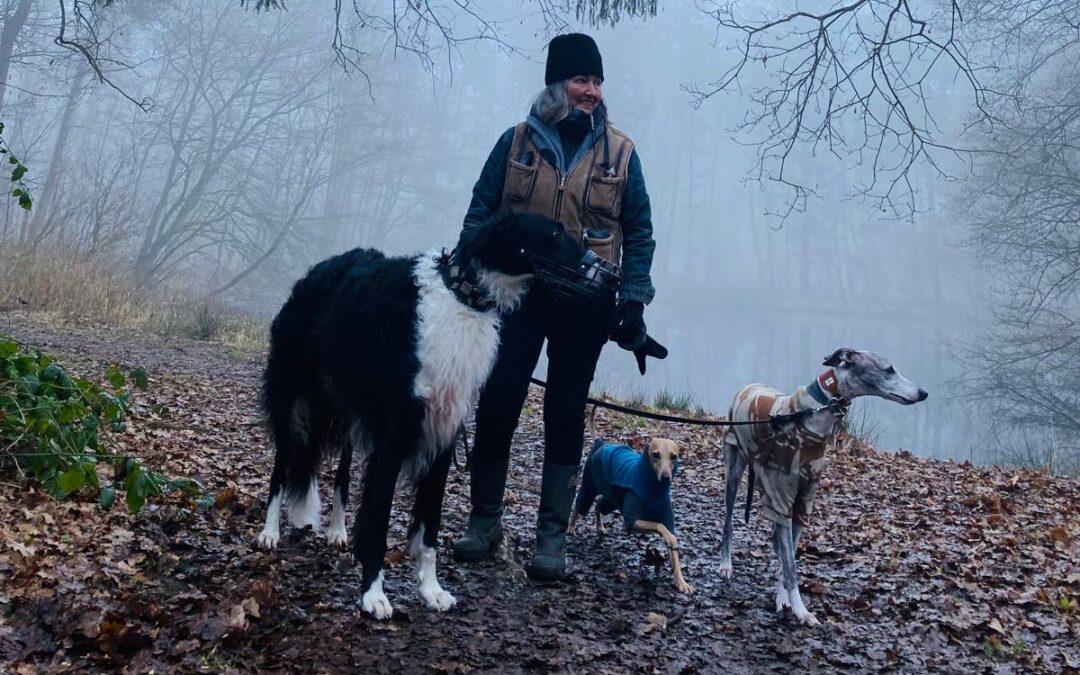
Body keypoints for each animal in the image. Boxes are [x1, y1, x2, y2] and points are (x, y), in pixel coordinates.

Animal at [250, 212, 591, 617]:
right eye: (555, 232)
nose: (595, 269)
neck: (462, 297)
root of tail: (314, 273)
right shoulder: (396, 431)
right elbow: (379, 520)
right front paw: (373, 596)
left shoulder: (444, 433)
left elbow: (430, 526)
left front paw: (431, 590)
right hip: (292, 401)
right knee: (281, 469)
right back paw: (269, 533)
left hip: (349, 413)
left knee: (342, 474)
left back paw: (337, 531)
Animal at [565, 408, 691, 591]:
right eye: (656, 455)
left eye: (674, 456)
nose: (666, 477)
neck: (654, 491)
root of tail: (601, 443)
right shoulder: (632, 521)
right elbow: (659, 526)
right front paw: (669, 539)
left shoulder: (667, 520)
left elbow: (672, 546)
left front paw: (681, 581)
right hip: (590, 486)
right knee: (579, 503)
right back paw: (571, 526)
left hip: (611, 499)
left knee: (599, 505)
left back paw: (600, 527)